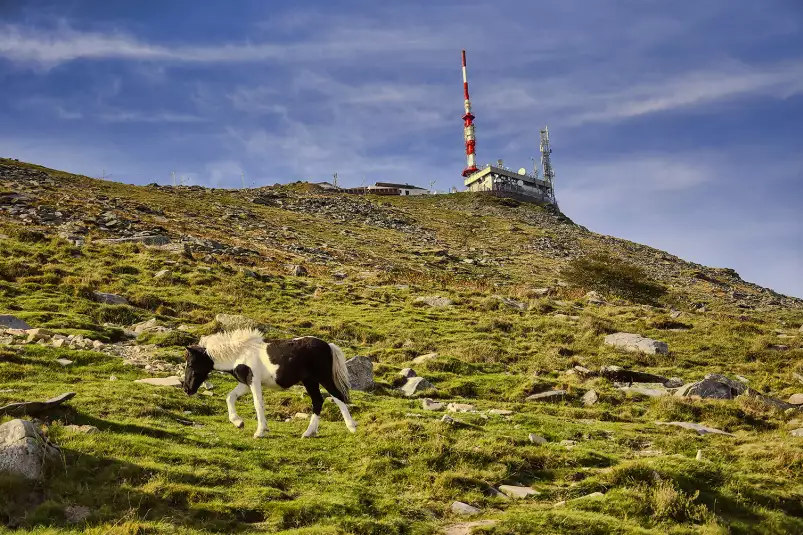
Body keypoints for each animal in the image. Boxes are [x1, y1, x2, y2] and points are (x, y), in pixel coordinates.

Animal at [184, 330, 360, 440]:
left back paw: (351, 427)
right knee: (318, 401)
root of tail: (328, 346)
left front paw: (260, 431)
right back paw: (309, 433)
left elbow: (258, 404)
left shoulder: (253, 381)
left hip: (323, 378)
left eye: (191, 364)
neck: (239, 354)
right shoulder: (245, 383)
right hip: (310, 381)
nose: (187, 389)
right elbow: (230, 397)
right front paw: (238, 422)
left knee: (337, 397)